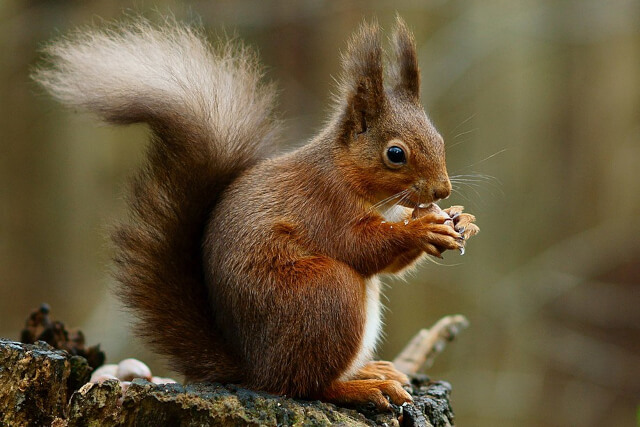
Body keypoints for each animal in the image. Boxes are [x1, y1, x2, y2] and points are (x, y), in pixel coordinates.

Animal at [33, 16, 476, 412]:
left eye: (438, 138)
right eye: (395, 154)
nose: (442, 190)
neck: (348, 176)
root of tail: (255, 369)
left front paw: (461, 220)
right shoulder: (323, 205)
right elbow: (361, 247)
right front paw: (422, 228)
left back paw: (369, 371)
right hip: (324, 293)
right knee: (304, 385)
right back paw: (360, 388)